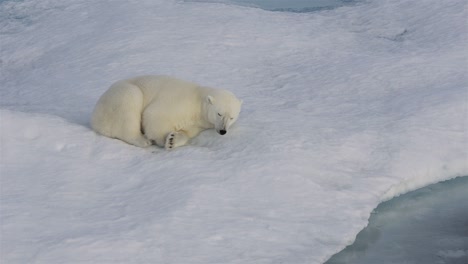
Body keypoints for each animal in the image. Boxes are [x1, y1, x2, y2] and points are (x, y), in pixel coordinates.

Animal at [90, 75, 241, 150]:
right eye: (219, 113)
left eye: (232, 117)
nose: (223, 131)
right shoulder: (178, 101)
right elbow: (154, 114)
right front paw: (164, 140)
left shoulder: (197, 124)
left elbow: (187, 132)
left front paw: (173, 140)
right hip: (120, 97)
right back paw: (143, 140)